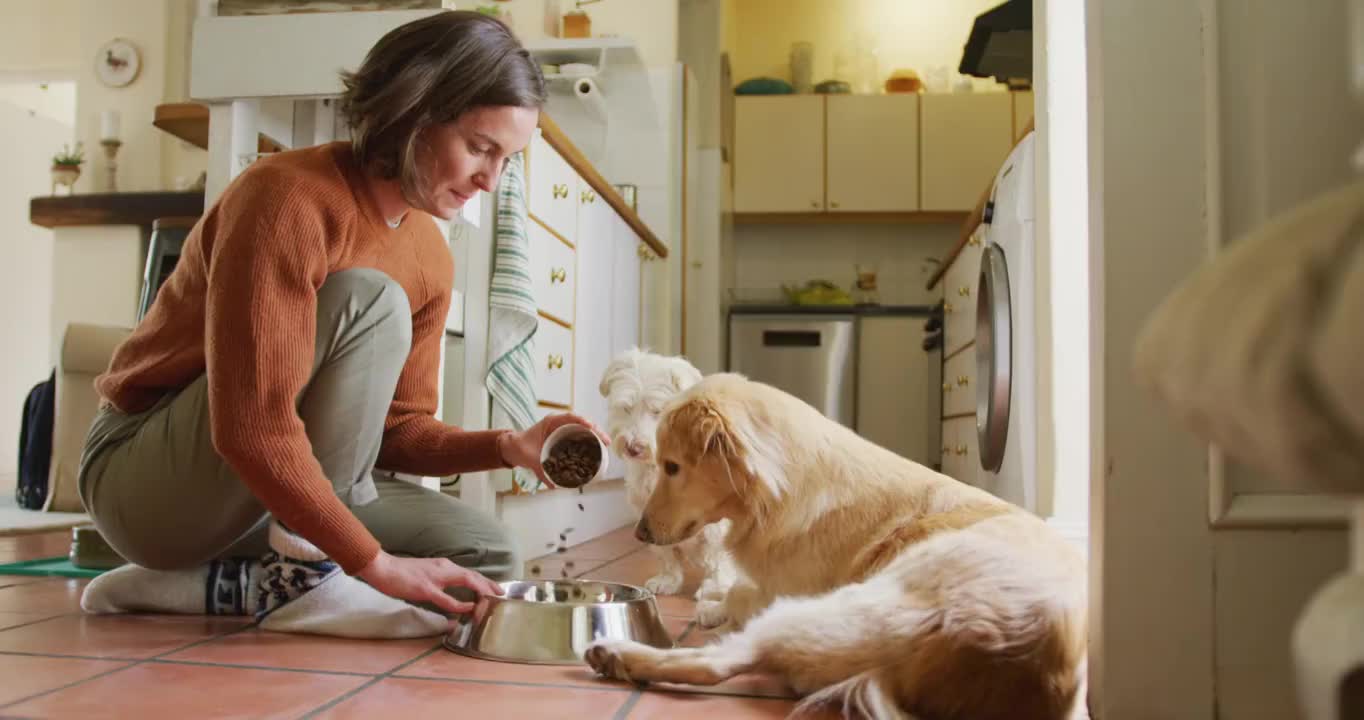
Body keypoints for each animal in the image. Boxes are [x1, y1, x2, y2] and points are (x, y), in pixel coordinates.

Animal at [602, 347, 742, 624]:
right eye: (627, 408)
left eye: (657, 411)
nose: (633, 447)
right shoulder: (649, 516)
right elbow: (665, 553)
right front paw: (668, 580)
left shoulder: (718, 525)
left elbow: (717, 555)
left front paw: (716, 587)